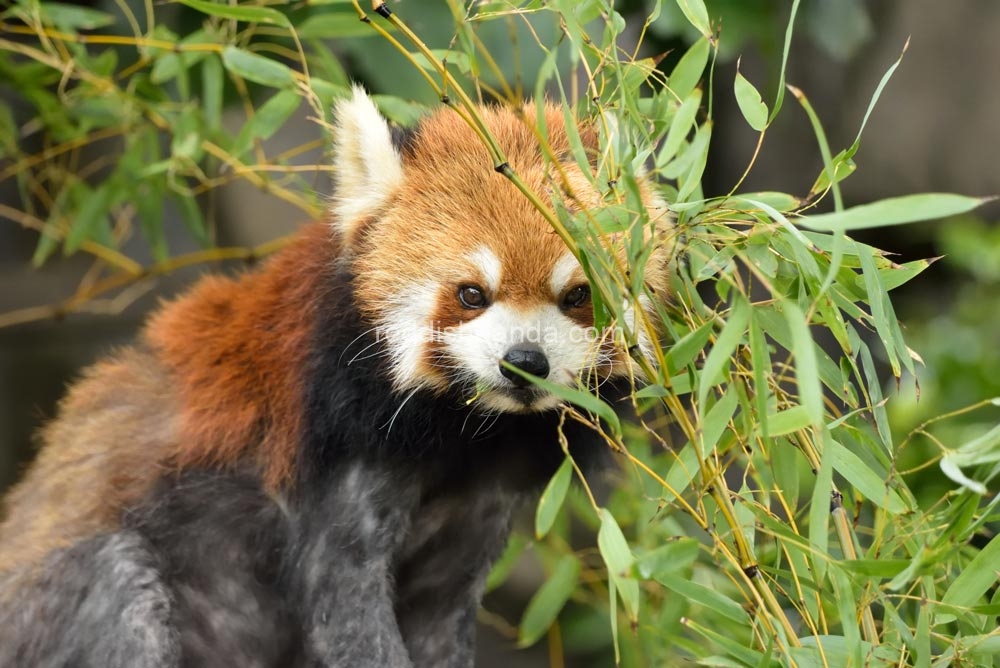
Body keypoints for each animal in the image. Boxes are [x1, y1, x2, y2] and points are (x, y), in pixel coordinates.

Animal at [1, 88, 672, 668]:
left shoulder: (481, 496)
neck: (461, 432)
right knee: (121, 590)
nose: (525, 360)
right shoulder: (333, 452)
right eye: (471, 294)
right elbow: (343, 606)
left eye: (578, 295)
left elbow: (438, 614)